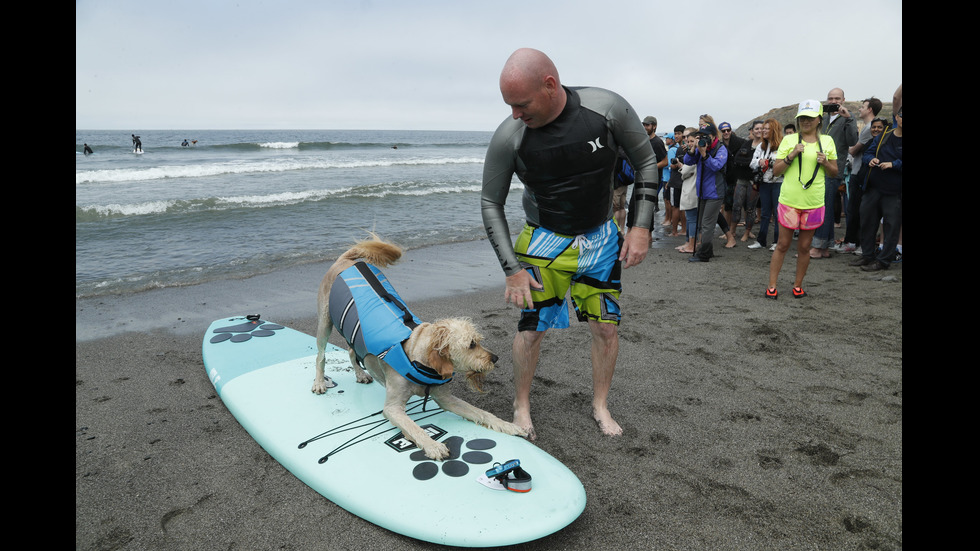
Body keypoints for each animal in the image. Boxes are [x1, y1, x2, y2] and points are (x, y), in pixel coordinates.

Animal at [314, 235, 528, 460]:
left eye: (478, 341)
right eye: (471, 344)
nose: (495, 358)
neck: (417, 359)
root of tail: (346, 260)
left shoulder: (446, 399)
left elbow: (481, 413)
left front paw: (508, 425)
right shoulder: (393, 408)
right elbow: (414, 428)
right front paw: (433, 445)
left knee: (352, 351)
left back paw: (360, 374)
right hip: (325, 322)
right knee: (321, 355)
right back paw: (319, 382)